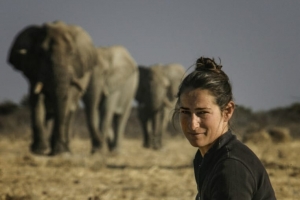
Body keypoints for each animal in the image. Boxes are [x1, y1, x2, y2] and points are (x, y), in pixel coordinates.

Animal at [7, 20, 98, 155]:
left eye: (71, 53)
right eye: (40, 54)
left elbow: (65, 104)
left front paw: (60, 151)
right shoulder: (34, 73)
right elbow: (36, 101)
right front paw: (39, 150)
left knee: (69, 112)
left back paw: (65, 148)